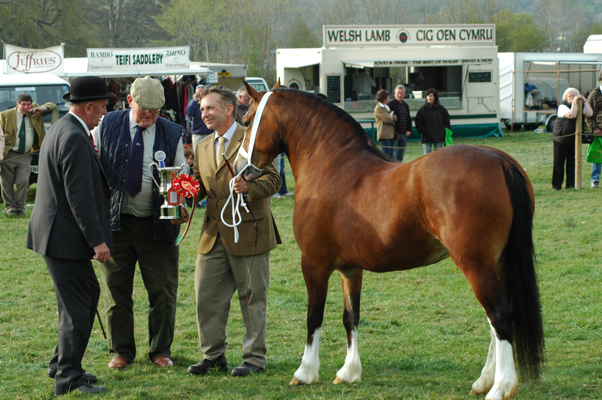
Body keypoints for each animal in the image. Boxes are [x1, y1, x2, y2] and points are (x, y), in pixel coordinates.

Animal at [236, 82, 544, 400]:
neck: (331, 165)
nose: (239, 167)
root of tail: (500, 160)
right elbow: (351, 316)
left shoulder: (314, 263)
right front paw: (349, 372)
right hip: (496, 263)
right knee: (493, 321)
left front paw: (305, 372)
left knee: (500, 315)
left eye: (245, 121)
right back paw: (483, 381)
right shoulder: (350, 269)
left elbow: (314, 316)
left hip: (475, 263)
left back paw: (500, 387)